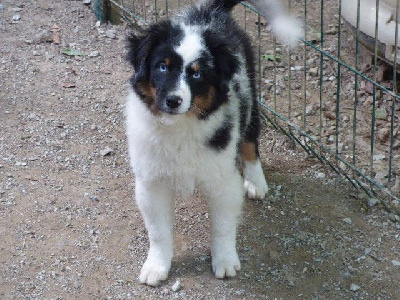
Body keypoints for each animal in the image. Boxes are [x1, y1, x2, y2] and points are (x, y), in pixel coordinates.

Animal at [126, 0, 300, 286]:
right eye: (162, 67)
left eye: (197, 75)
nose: (173, 100)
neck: (180, 126)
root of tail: (208, 11)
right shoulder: (151, 182)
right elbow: (158, 231)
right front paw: (156, 267)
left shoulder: (224, 179)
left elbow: (223, 226)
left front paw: (225, 262)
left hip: (250, 94)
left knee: (250, 140)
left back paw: (257, 182)